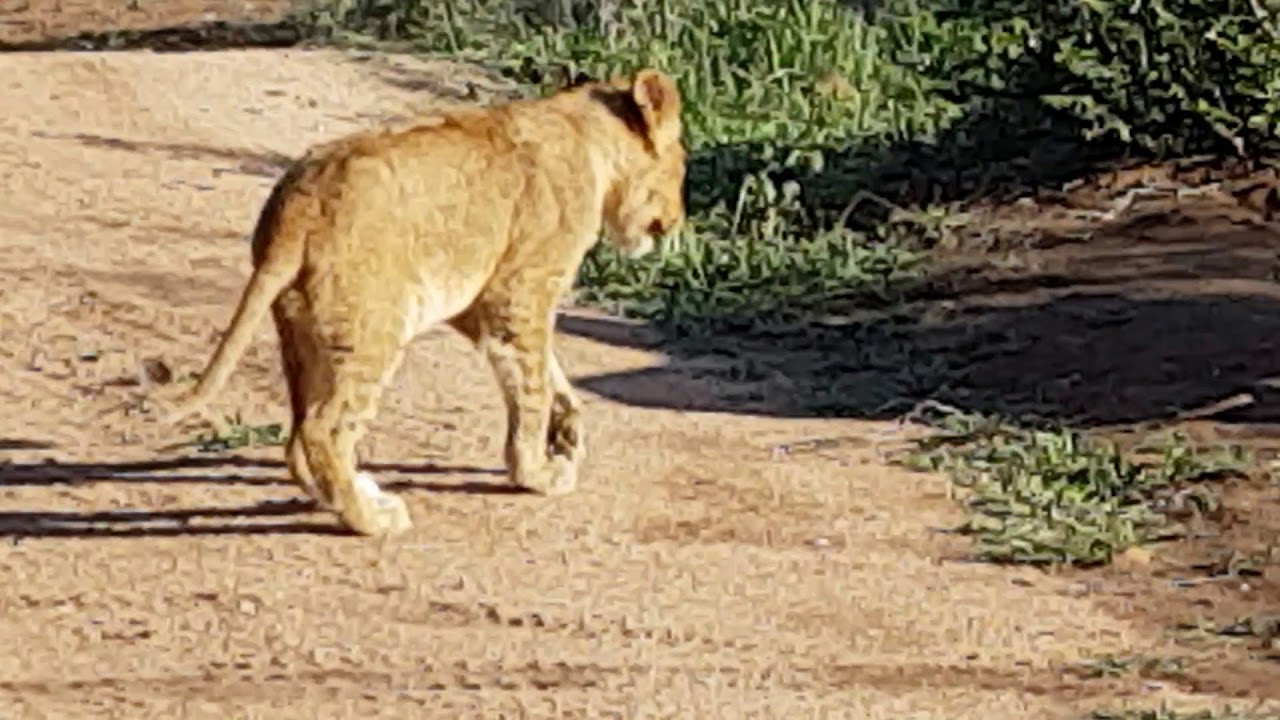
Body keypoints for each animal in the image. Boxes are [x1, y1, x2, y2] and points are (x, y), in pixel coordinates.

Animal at [165, 68, 687, 537]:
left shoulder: (476, 307)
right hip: (372, 329)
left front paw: (568, 431)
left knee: (296, 440)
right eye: (682, 166)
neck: (588, 136)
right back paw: (373, 520)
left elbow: (549, 372)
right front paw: (536, 472)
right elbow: (531, 386)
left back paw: (356, 497)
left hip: (301, 332)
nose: (678, 220)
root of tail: (298, 204)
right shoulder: (519, 293)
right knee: (322, 429)